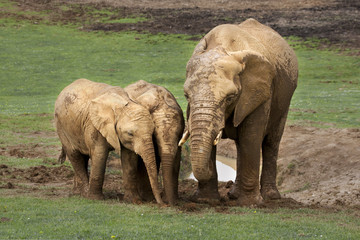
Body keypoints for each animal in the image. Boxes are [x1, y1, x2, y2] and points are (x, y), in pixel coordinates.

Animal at [178, 19, 298, 206]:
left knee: (270, 142)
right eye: (186, 95)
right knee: (241, 145)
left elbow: (251, 137)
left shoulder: (259, 92)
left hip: (284, 100)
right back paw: (234, 194)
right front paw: (206, 201)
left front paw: (249, 204)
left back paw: (270, 197)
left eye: (230, 97)